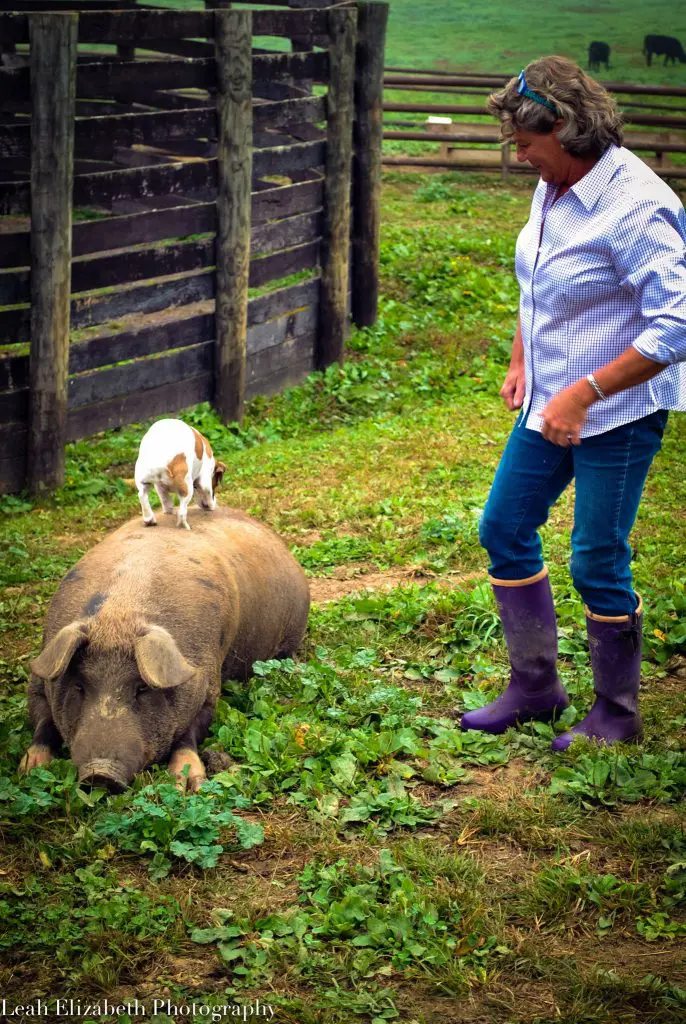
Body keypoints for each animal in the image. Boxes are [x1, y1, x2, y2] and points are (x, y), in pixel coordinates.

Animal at [20, 507, 310, 792]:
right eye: (79, 686)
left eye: (142, 688)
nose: (100, 774)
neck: (118, 615)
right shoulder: (38, 679)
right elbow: (43, 721)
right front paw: (28, 771)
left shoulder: (208, 684)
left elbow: (189, 734)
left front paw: (186, 785)